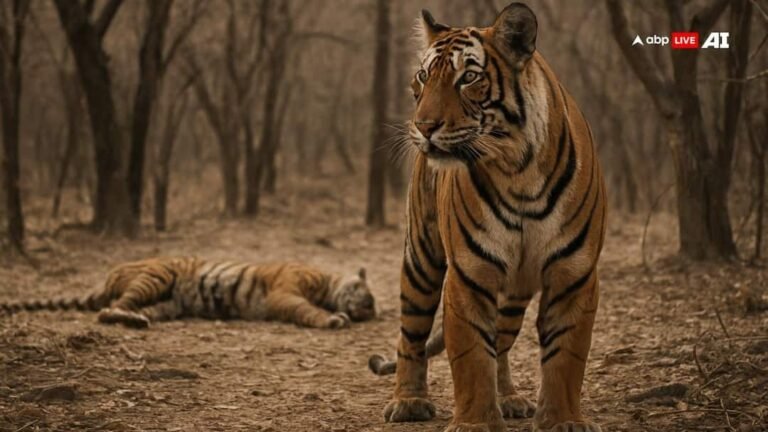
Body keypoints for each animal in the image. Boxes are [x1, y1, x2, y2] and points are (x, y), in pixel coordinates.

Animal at [377, 3, 606, 432]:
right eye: (423, 76)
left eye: (468, 77)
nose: (423, 126)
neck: (518, 170)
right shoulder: (469, 274)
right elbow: (471, 358)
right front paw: (475, 423)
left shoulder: (574, 273)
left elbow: (566, 356)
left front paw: (564, 420)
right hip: (421, 259)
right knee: (410, 334)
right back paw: (408, 401)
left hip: (513, 295)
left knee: (501, 342)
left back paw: (510, 398)